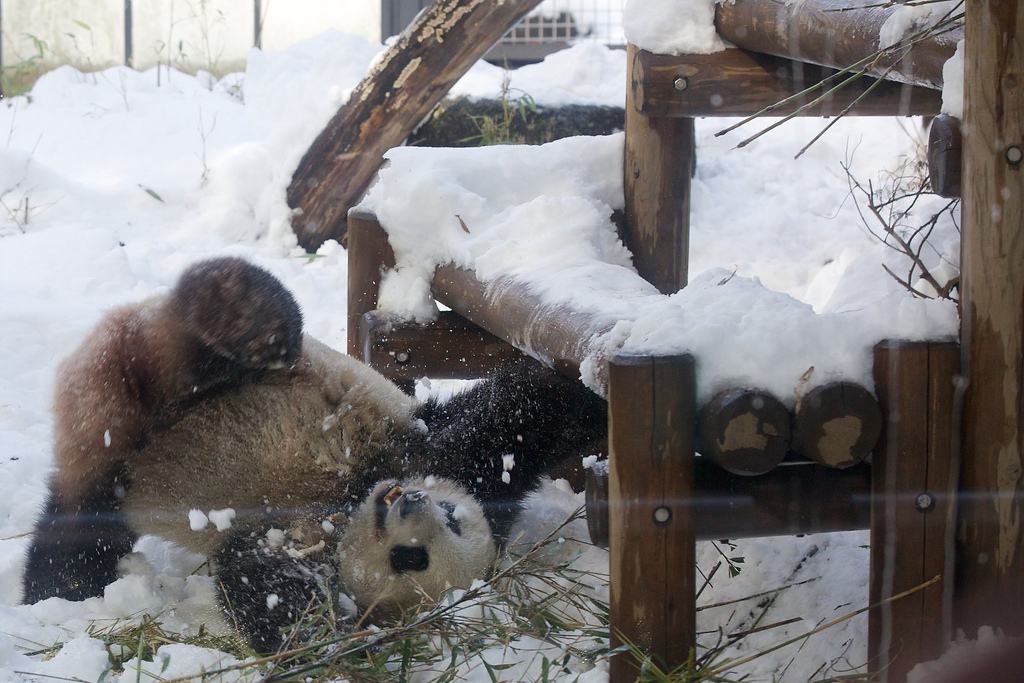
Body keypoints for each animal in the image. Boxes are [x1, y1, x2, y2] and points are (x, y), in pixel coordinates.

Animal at [22, 255, 606, 651]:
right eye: (451, 514)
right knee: (200, 328)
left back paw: (54, 589)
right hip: (149, 367)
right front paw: (596, 393)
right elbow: (520, 415)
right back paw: (253, 317)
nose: (409, 502)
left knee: (79, 533)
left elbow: (271, 597)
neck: (347, 502)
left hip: (115, 424)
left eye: (411, 559)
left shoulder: (285, 540)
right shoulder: (442, 455)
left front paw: (327, 640)